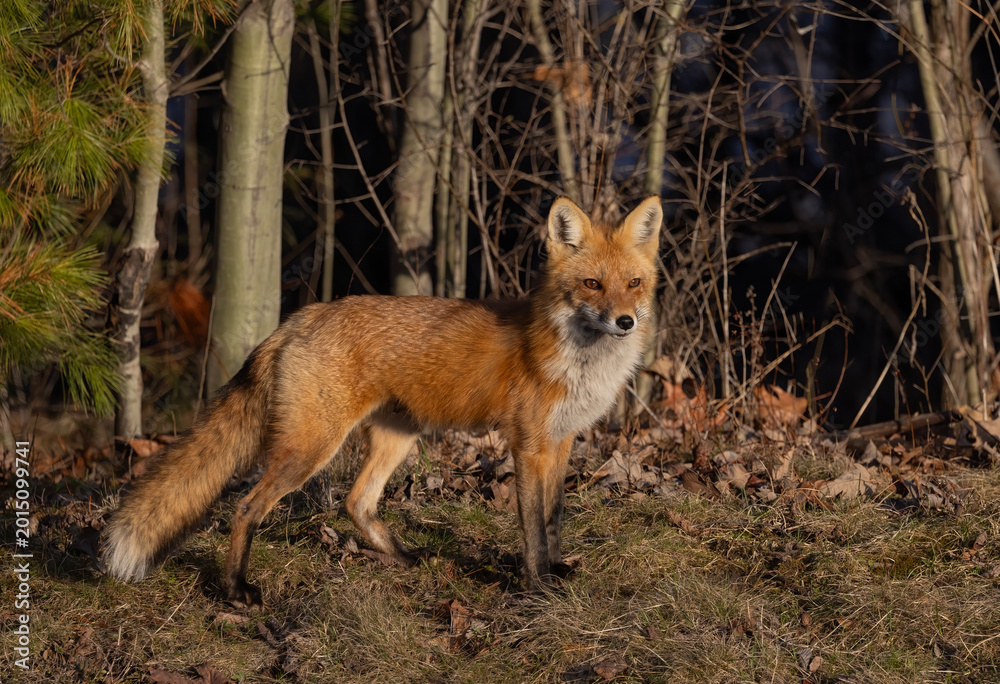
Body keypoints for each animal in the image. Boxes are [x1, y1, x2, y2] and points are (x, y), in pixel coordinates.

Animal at [102, 195, 662, 607]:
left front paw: (558, 572)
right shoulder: (527, 445)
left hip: (398, 439)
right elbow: (532, 531)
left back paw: (404, 557)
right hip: (311, 449)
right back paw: (236, 591)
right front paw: (538, 587)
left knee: (356, 501)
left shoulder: (562, 440)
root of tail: (297, 319)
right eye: (592, 284)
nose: (625, 321)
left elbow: (555, 518)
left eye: (634, 283)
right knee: (246, 507)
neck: (578, 362)